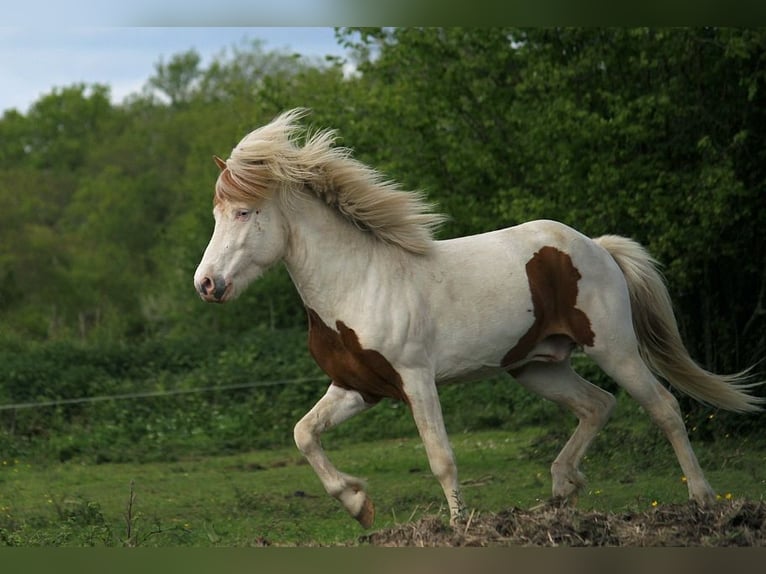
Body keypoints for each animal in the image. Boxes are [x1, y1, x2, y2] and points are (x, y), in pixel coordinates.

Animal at [195, 108, 764, 532]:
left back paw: (704, 502)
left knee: (664, 408)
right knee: (597, 405)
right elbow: (304, 434)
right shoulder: (358, 387)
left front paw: (458, 527)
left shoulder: (416, 379)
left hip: (614, 349)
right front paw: (359, 505)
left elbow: (440, 456)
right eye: (217, 214)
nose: (206, 284)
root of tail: (596, 246)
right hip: (537, 367)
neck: (358, 282)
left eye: (244, 212)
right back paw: (559, 494)